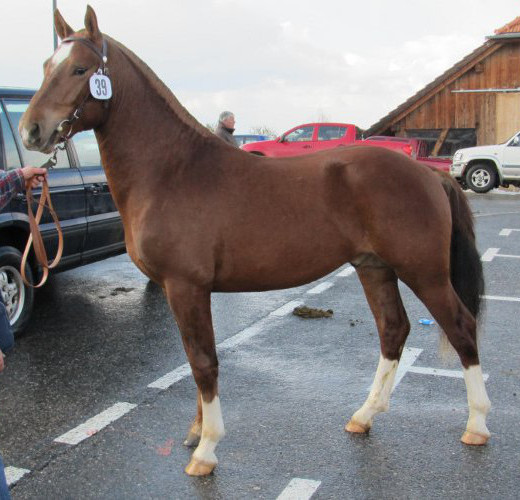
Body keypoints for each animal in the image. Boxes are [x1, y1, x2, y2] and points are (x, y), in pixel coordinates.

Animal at [21, 6, 492, 476]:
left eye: (80, 69)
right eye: (45, 66)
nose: (31, 131)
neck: (172, 172)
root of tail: (430, 174)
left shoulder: (185, 286)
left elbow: (204, 363)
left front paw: (206, 450)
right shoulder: (186, 290)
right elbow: (195, 359)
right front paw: (195, 433)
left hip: (424, 273)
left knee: (462, 327)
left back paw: (477, 426)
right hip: (375, 268)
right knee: (393, 329)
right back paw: (363, 416)